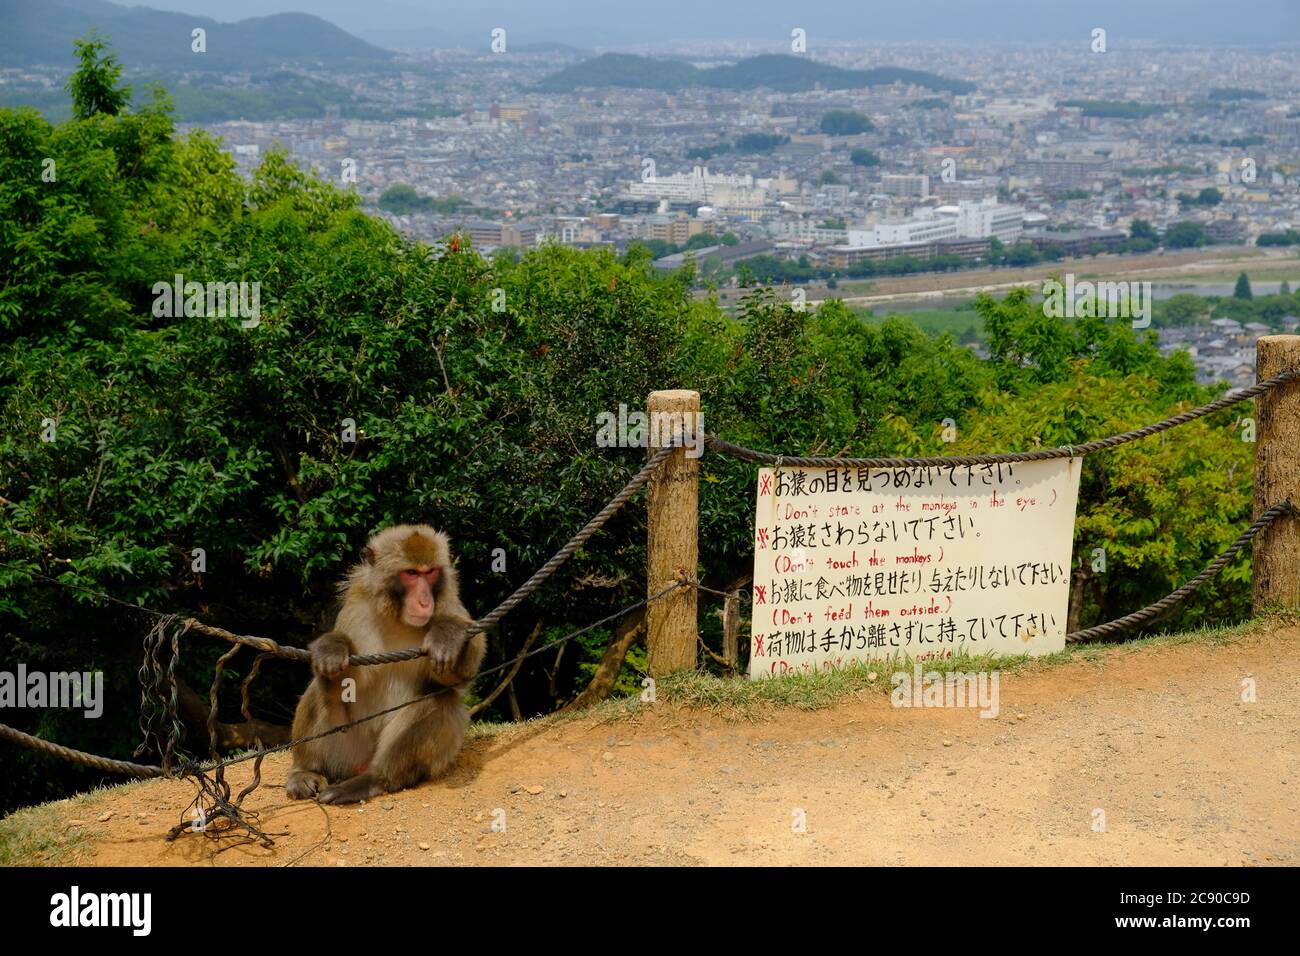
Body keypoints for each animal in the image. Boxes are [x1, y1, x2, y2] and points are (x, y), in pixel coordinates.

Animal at [287, 528, 486, 806]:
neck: (398, 618)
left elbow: (457, 678)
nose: (425, 602)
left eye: (430, 572)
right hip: (345, 746)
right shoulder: (357, 606)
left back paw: (373, 780)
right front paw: (333, 648)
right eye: (411, 573)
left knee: (438, 700)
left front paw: (448, 635)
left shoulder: (448, 602)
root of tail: (360, 764)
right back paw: (306, 771)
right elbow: (346, 680)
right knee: (318, 689)